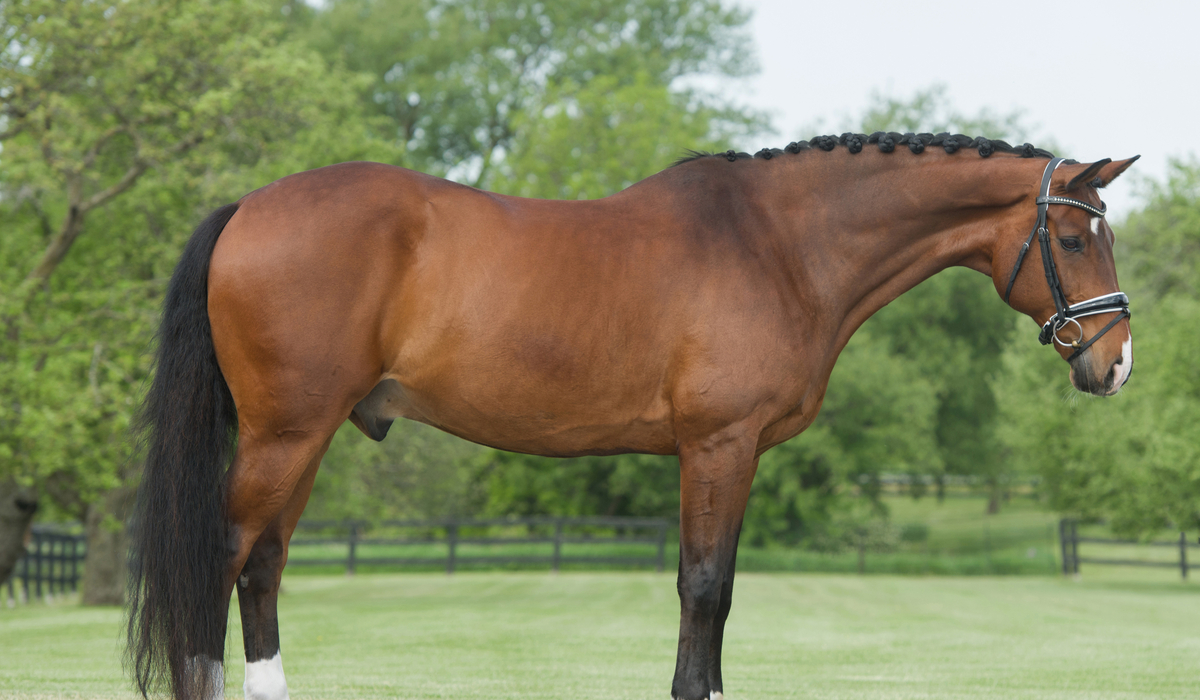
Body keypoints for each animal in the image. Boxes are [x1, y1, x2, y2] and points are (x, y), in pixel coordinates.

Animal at [126, 132, 1137, 700]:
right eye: (1073, 236)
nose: (1116, 361)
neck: (778, 245)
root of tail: (248, 208)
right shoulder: (718, 445)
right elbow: (704, 587)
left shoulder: (736, 453)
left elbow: (717, 590)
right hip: (285, 434)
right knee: (223, 558)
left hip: (305, 438)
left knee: (262, 567)